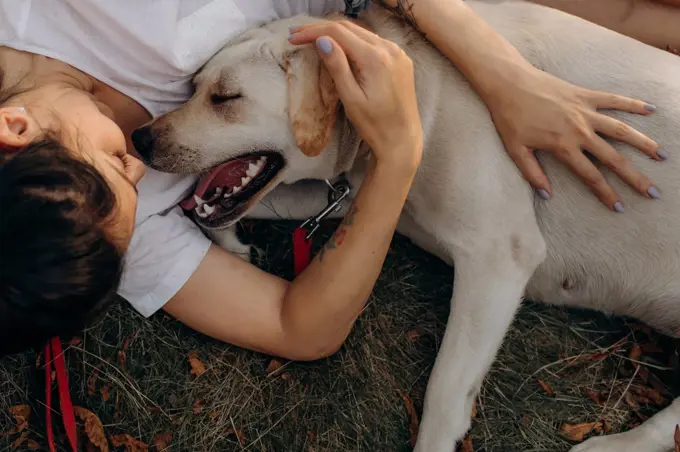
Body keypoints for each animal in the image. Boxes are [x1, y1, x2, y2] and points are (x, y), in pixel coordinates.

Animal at [133, 1, 680, 450]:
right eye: (193, 87)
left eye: (225, 98)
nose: (139, 139)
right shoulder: (348, 196)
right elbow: (231, 205)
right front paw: (228, 239)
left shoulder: (499, 254)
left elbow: (443, 395)